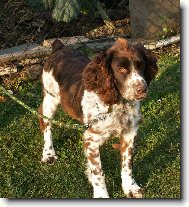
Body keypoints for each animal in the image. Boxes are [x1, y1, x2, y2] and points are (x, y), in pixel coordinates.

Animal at [38, 38, 158, 198]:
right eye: (121, 69)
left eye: (142, 65)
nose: (142, 89)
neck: (117, 104)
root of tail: (59, 47)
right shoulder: (92, 139)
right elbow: (98, 172)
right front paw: (101, 194)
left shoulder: (129, 133)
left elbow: (127, 164)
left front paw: (130, 188)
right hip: (50, 98)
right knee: (45, 122)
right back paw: (48, 153)